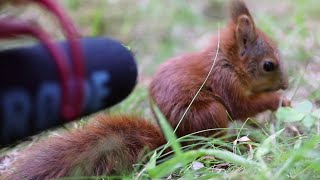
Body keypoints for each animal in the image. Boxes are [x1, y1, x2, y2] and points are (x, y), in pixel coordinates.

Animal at [1, 0, 288, 179]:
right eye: (269, 65)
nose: (285, 84)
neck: (228, 62)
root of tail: (175, 142)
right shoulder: (225, 82)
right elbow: (241, 105)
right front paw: (279, 101)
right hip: (210, 113)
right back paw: (236, 145)